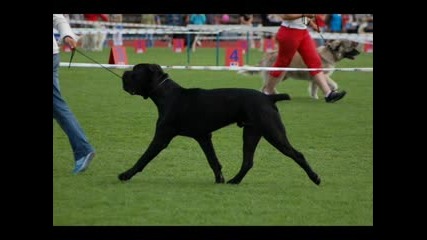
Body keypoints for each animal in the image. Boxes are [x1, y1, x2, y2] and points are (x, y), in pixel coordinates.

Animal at [119, 62, 320, 185]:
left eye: (135, 72)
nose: (123, 73)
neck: (167, 95)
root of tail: (268, 98)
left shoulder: (162, 137)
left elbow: (144, 157)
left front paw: (126, 174)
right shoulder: (203, 137)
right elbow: (213, 160)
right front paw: (220, 179)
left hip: (273, 133)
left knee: (297, 154)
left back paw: (315, 178)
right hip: (251, 133)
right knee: (248, 161)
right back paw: (234, 181)